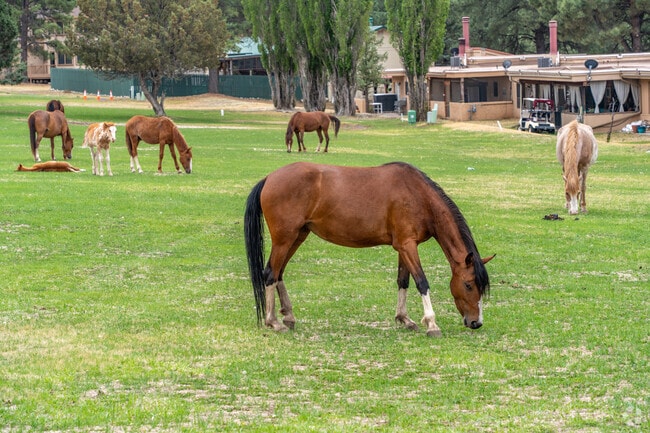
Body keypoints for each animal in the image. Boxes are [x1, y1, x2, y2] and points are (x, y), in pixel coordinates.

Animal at [245, 162, 494, 337]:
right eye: (468, 284)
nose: (476, 322)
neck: (417, 194)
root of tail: (269, 178)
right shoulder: (407, 246)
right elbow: (421, 282)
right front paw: (431, 324)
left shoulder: (404, 246)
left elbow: (403, 281)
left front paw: (405, 319)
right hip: (284, 239)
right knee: (270, 274)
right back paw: (273, 322)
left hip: (297, 236)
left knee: (278, 273)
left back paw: (288, 316)